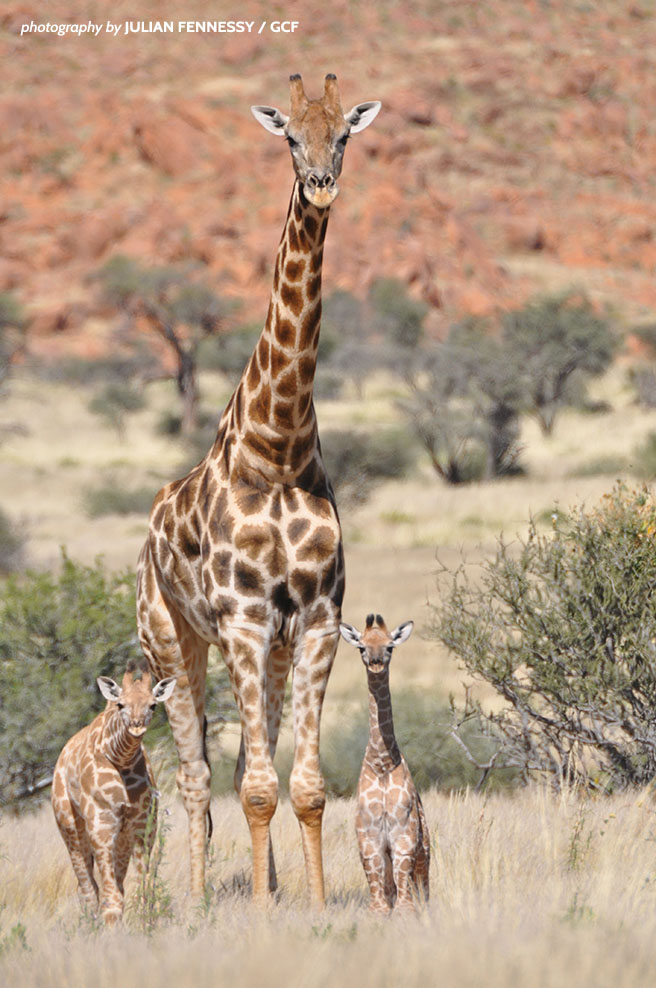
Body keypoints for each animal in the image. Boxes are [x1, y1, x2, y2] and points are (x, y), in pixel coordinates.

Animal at [51, 664, 176, 928]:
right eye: (120, 704)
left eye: (153, 705)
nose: (137, 726)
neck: (120, 758)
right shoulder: (101, 823)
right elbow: (110, 894)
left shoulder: (143, 826)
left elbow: (143, 885)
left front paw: (146, 924)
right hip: (70, 826)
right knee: (87, 887)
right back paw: (90, 925)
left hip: (122, 837)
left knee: (110, 885)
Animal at [136, 75, 382, 912]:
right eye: (289, 138)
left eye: (345, 133)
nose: (323, 185)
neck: (278, 451)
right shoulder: (241, 622)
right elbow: (250, 787)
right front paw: (266, 912)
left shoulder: (314, 623)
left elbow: (300, 786)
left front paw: (309, 904)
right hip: (172, 644)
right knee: (195, 778)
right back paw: (199, 900)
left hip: (265, 654)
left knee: (252, 759)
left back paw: (263, 885)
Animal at [338, 612, 430, 916]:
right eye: (361, 647)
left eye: (390, 646)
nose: (376, 663)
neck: (381, 763)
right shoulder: (369, 838)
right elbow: (378, 893)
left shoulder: (404, 835)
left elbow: (404, 897)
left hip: (426, 857)